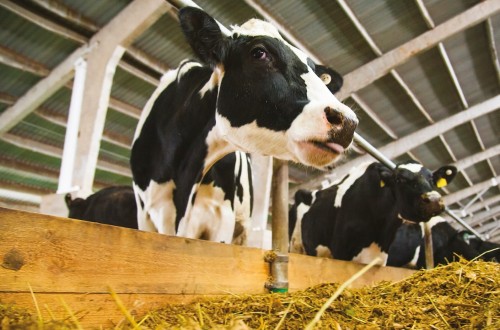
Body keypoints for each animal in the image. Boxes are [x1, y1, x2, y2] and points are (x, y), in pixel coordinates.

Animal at [290, 160, 458, 266]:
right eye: (399, 179)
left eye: (432, 179)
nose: (434, 200)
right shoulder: (340, 252)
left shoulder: (381, 259)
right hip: (296, 246)